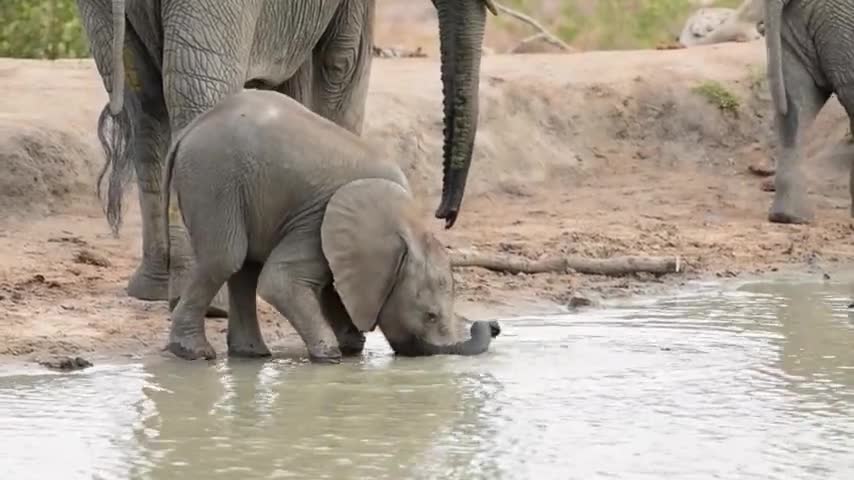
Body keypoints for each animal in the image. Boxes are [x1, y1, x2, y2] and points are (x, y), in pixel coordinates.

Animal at [79, 0, 494, 312]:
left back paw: (154, 290)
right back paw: (209, 301)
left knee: (146, 109)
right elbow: (342, 61)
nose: (444, 214)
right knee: (197, 94)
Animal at [160, 90, 502, 362]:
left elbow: (331, 288)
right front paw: (330, 356)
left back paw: (251, 354)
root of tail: (190, 129)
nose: (494, 325)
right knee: (226, 257)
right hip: (214, 178)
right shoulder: (317, 220)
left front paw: (351, 344)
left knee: (244, 267)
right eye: (429, 316)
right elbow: (280, 281)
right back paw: (193, 353)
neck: (407, 222)